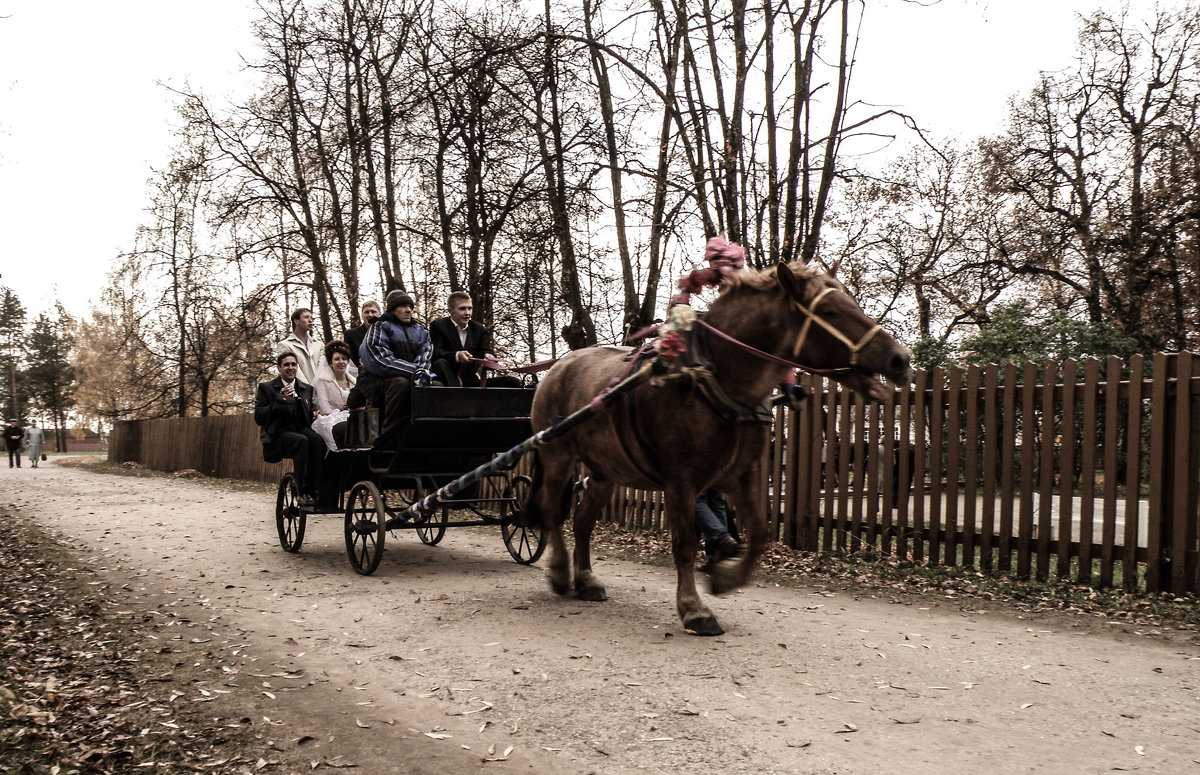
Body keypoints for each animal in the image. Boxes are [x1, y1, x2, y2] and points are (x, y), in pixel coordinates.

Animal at [528, 261, 907, 638]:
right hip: (558, 456)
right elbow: (684, 544)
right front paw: (694, 609)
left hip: (605, 471)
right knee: (550, 510)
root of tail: (558, 367)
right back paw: (560, 571)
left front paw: (727, 578)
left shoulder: (742, 475)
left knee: (582, 522)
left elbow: (759, 534)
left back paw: (586, 580)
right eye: (828, 311)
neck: (718, 380)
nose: (900, 359)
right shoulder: (681, 481)